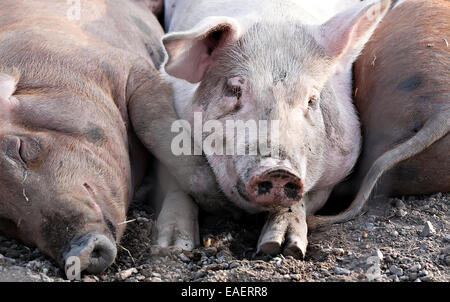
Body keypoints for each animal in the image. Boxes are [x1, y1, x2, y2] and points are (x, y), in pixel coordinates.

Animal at [134, 0, 394, 258]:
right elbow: (178, 183)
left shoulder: (333, 174)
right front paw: (172, 247)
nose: (277, 170)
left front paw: (284, 247)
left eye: (311, 100)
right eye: (234, 90)